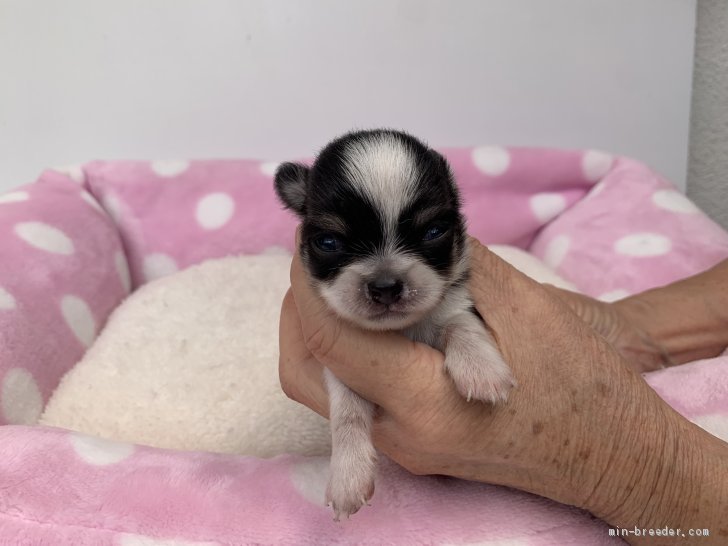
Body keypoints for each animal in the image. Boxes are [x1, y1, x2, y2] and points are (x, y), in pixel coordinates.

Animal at [274, 129, 516, 520]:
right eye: (329, 242)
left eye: (433, 231)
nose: (386, 285)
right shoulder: (343, 369)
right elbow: (348, 414)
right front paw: (348, 477)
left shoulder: (456, 301)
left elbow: (459, 323)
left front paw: (481, 370)